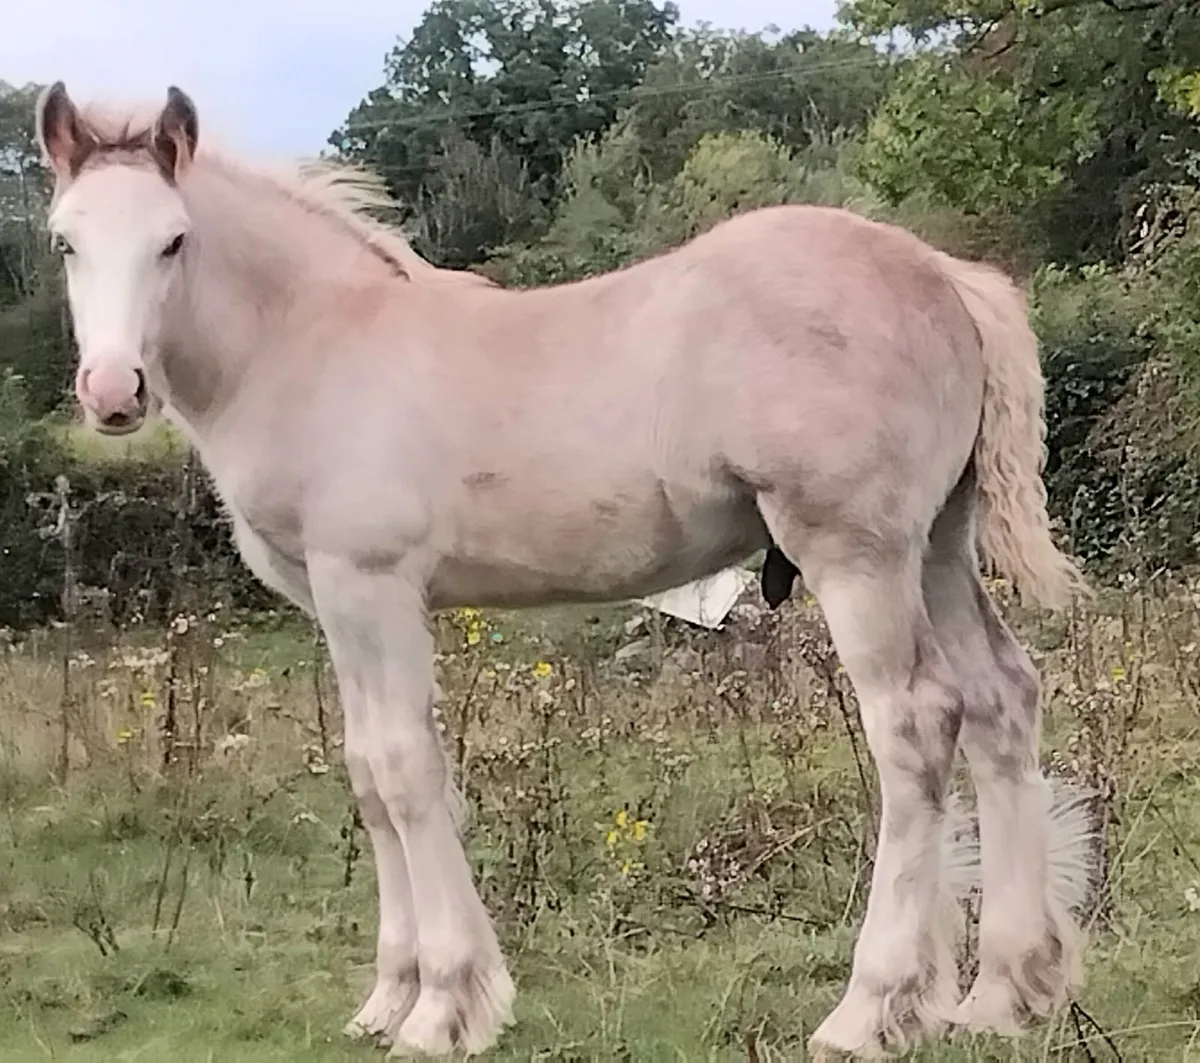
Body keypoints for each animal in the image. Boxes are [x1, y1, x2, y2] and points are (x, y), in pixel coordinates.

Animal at [34, 81, 1096, 1059]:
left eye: (173, 240)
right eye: (65, 242)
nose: (113, 392)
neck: (313, 343)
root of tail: (945, 275)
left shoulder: (372, 583)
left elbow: (406, 770)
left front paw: (445, 1005)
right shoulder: (330, 601)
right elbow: (367, 771)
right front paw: (388, 995)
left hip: (858, 553)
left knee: (916, 724)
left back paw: (871, 1008)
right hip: (938, 546)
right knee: (1000, 699)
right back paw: (1005, 991)